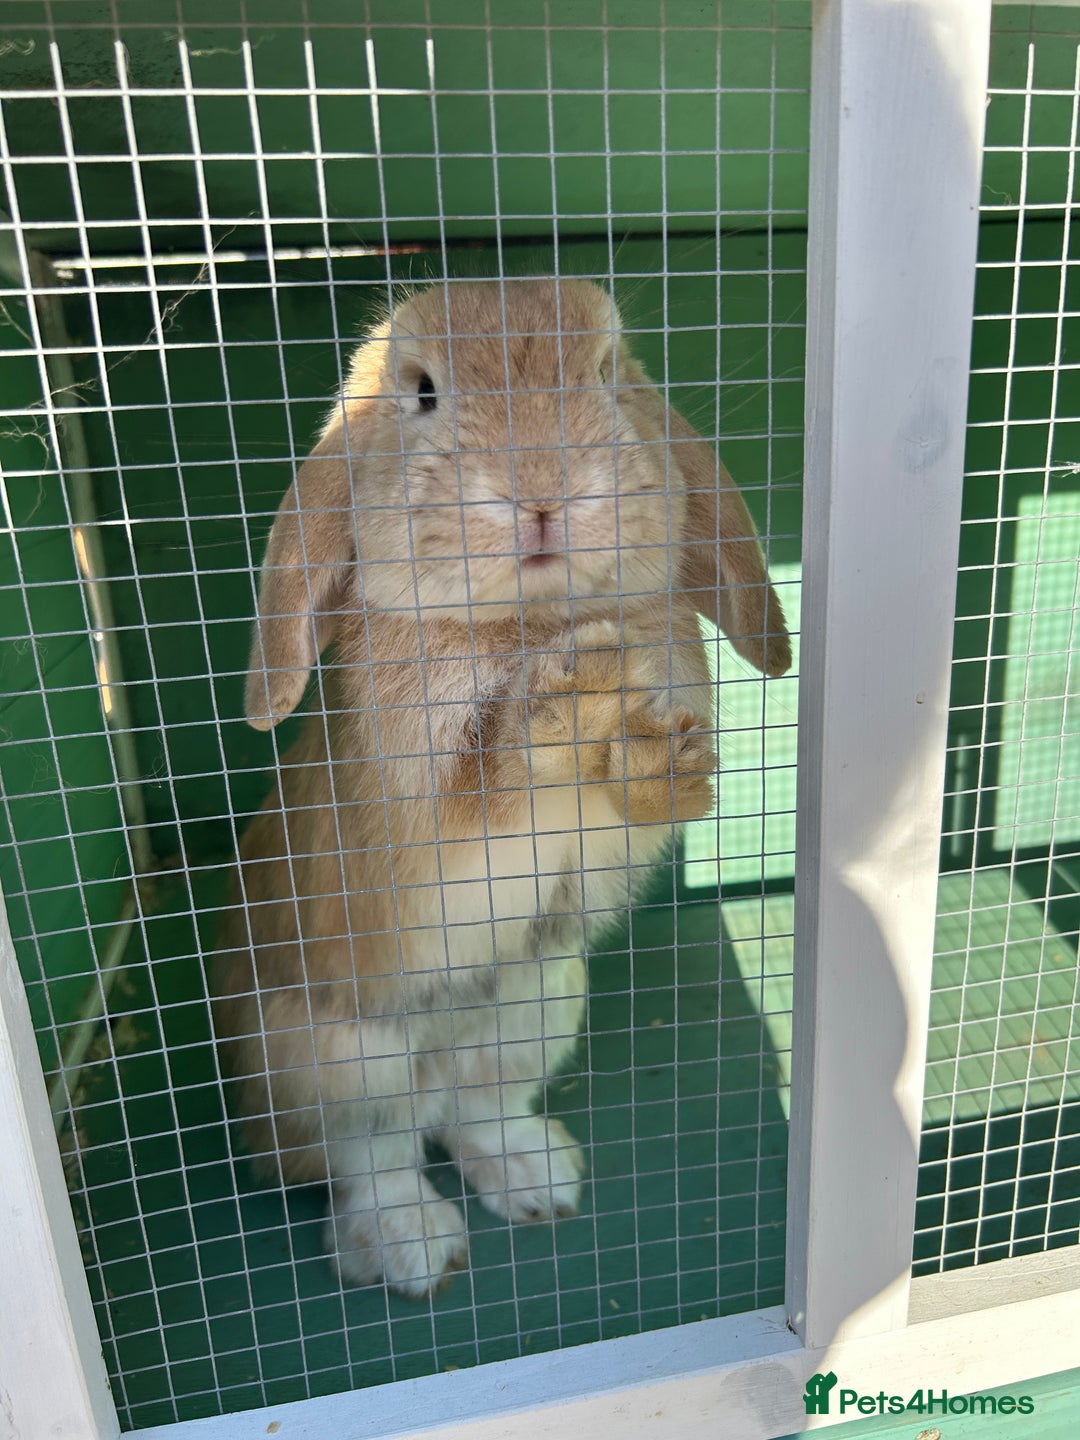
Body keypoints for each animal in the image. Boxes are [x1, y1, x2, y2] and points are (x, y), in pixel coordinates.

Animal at [214, 277, 790, 1299]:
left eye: (604, 371)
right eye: (422, 393)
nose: (543, 494)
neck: (531, 621)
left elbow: (638, 800)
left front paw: (658, 756)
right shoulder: (438, 828)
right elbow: (495, 785)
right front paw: (571, 694)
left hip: (535, 1001)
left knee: (471, 1116)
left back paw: (539, 1181)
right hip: (339, 1061)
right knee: (374, 1161)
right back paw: (416, 1250)